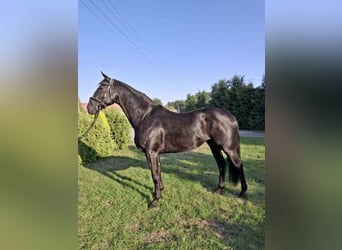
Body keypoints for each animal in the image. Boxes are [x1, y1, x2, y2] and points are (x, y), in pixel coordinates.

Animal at [85, 72, 246, 207]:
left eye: (101, 88)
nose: (89, 108)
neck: (145, 116)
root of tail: (231, 116)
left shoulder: (151, 152)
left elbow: (154, 175)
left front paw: (154, 201)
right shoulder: (155, 153)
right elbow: (158, 173)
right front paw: (160, 192)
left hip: (229, 148)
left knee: (238, 164)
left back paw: (242, 192)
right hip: (214, 146)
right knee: (221, 164)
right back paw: (219, 190)